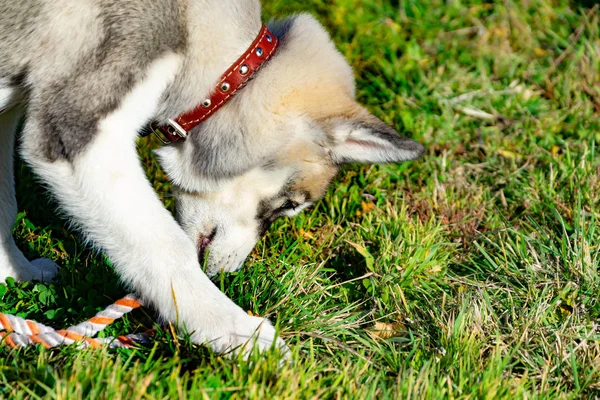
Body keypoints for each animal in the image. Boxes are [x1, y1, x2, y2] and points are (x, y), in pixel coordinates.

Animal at [0, 0, 424, 356]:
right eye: (289, 205)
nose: (227, 275)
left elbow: (6, 205)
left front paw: (16, 274)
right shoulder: (76, 132)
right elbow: (167, 247)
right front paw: (235, 333)